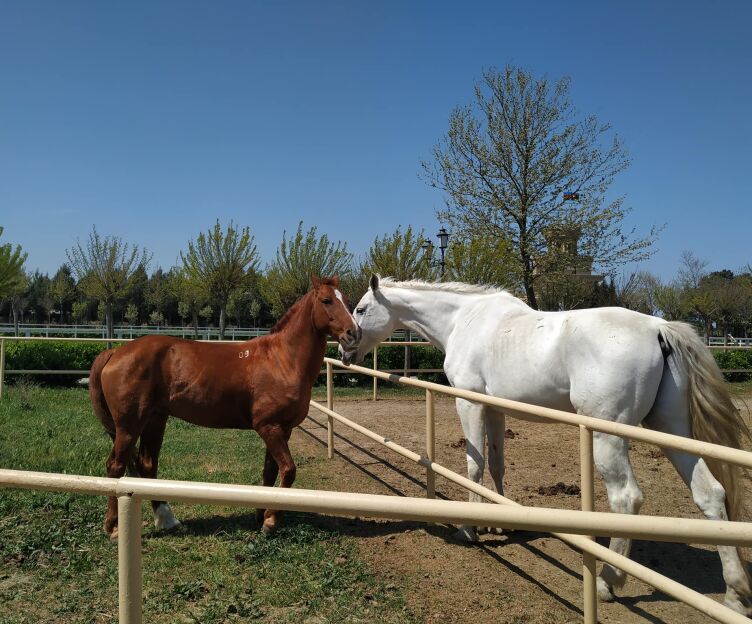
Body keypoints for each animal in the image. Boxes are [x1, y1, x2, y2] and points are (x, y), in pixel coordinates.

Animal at [89, 275, 359, 539]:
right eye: (326, 300)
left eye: (347, 301)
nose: (353, 334)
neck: (282, 360)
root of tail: (115, 352)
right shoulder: (269, 427)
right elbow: (288, 470)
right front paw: (271, 521)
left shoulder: (283, 429)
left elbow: (270, 472)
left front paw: (261, 516)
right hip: (129, 427)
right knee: (116, 466)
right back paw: (114, 527)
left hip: (155, 420)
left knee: (147, 465)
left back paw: (168, 520)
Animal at [339, 275, 752, 615]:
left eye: (360, 308)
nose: (345, 349)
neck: (464, 320)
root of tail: (658, 328)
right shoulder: (495, 409)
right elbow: (496, 462)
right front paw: (497, 524)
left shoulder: (469, 403)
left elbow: (474, 464)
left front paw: (469, 528)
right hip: (672, 430)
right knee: (710, 494)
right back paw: (734, 595)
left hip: (609, 435)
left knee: (627, 498)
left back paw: (608, 582)